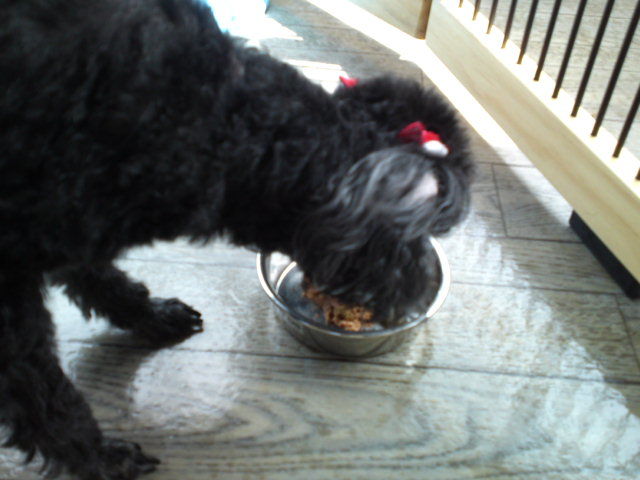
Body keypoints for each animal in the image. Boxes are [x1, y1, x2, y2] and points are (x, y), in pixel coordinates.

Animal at [0, 0, 474, 478]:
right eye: (429, 228)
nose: (413, 297)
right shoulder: (11, 280)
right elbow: (41, 388)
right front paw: (97, 457)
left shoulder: (70, 224)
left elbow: (100, 278)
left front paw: (152, 316)